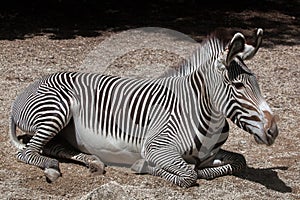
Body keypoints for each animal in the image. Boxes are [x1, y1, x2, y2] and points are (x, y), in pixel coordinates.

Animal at [9, 28, 278, 188]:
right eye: (238, 86)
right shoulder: (157, 148)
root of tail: (32, 85)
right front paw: (146, 167)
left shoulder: (210, 154)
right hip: (56, 110)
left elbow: (239, 161)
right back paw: (52, 169)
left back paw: (93, 161)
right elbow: (188, 175)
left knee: (51, 147)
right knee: (28, 152)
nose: (273, 131)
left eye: (257, 82)